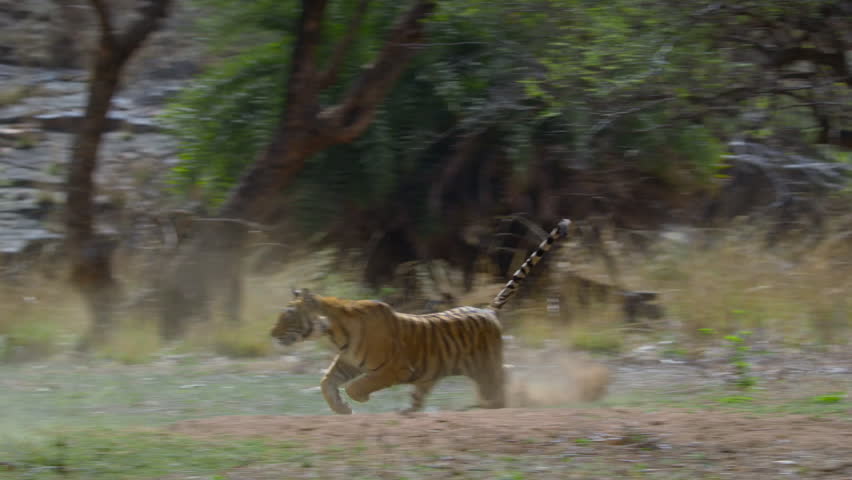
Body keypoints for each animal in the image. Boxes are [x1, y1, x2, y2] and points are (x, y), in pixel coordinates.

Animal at [270, 219, 572, 414]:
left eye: (289, 315)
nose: (271, 335)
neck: (334, 333)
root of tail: (486, 309)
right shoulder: (348, 362)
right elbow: (326, 382)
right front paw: (341, 408)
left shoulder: (394, 368)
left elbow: (359, 385)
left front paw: (358, 400)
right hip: (438, 372)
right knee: (426, 395)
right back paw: (409, 412)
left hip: (486, 370)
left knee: (500, 386)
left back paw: (492, 406)